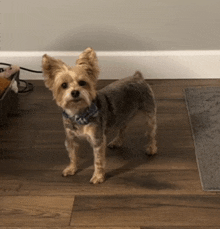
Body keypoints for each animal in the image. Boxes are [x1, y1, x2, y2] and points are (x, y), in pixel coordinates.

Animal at [42, 47, 156, 184]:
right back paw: (117, 141)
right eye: (63, 85)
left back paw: (151, 148)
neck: (79, 114)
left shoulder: (97, 139)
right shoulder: (70, 137)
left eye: (82, 82)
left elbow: (98, 160)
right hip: (122, 114)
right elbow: (73, 155)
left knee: (150, 132)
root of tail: (137, 77)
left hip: (149, 111)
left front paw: (98, 176)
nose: (75, 92)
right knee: (123, 128)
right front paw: (71, 168)